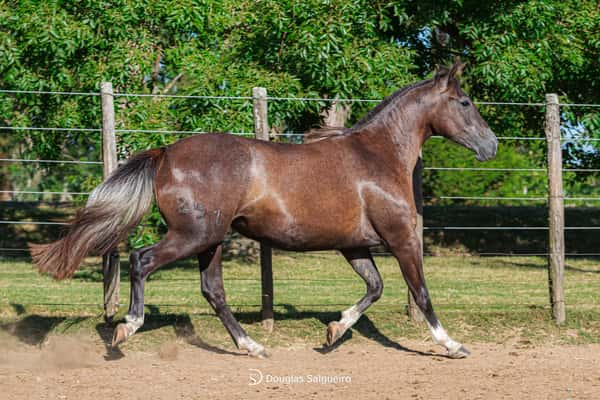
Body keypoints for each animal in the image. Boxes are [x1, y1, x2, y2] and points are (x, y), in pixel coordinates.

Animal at [29, 63, 496, 360]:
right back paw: (127, 327)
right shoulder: (401, 238)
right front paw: (454, 345)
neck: (377, 156)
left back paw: (252, 346)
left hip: (211, 241)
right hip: (194, 235)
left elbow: (375, 288)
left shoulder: (354, 246)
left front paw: (333, 332)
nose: (490, 146)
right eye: (465, 102)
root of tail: (166, 153)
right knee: (142, 260)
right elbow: (421, 292)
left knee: (213, 292)